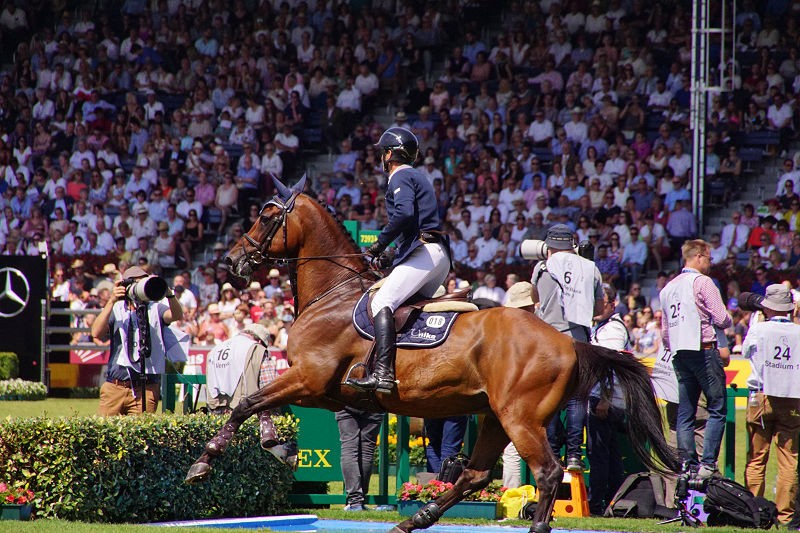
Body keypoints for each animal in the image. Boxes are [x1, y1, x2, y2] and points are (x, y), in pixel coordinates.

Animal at [185, 176, 680, 533]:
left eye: (266, 216)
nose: (231, 261)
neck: (334, 293)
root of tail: (568, 341)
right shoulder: (319, 391)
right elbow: (256, 403)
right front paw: (275, 445)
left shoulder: (309, 379)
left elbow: (247, 403)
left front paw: (204, 461)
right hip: (494, 415)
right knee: (475, 475)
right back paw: (415, 519)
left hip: (520, 418)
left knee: (546, 473)